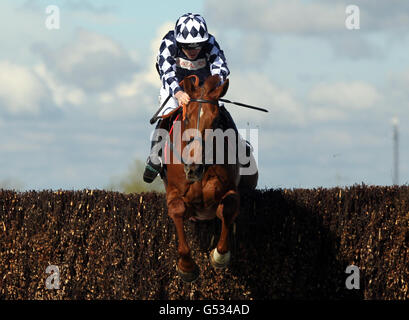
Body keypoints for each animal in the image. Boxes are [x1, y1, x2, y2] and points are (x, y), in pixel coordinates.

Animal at [158, 74, 256, 282]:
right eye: (187, 117)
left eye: (216, 120)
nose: (193, 168)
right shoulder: (174, 192)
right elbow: (177, 210)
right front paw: (187, 267)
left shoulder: (230, 189)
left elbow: (227, 208)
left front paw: (219, 256)